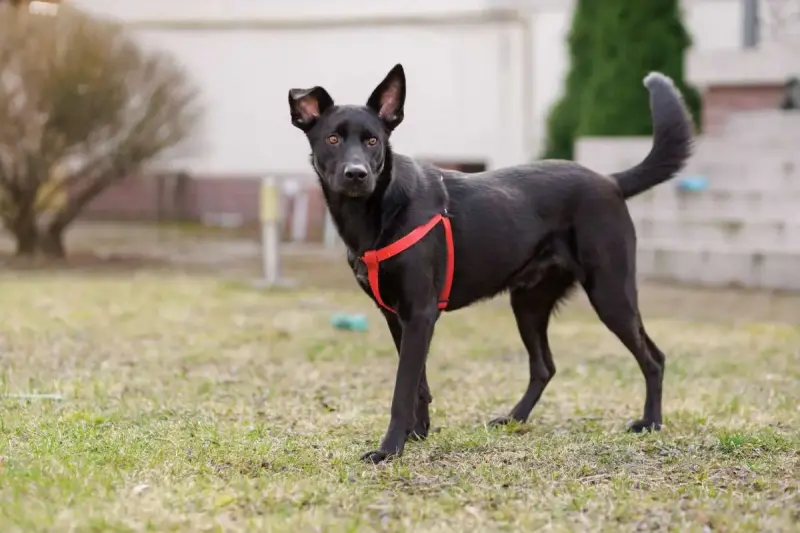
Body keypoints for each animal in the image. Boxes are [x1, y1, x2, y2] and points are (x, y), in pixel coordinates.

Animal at [290, 64, 692, 462]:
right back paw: (515, 418)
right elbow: (419, 383)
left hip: (610, 294)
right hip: (528, 303)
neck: (378, 209)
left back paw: (650, 422)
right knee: (545, 366)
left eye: (373, 141)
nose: (356, 174)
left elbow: (402, 389)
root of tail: (610, 181)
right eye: (333, 139)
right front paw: (418, 433)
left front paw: (390, 448)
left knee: (654, 358)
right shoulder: (398, 317)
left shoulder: (419, 314)